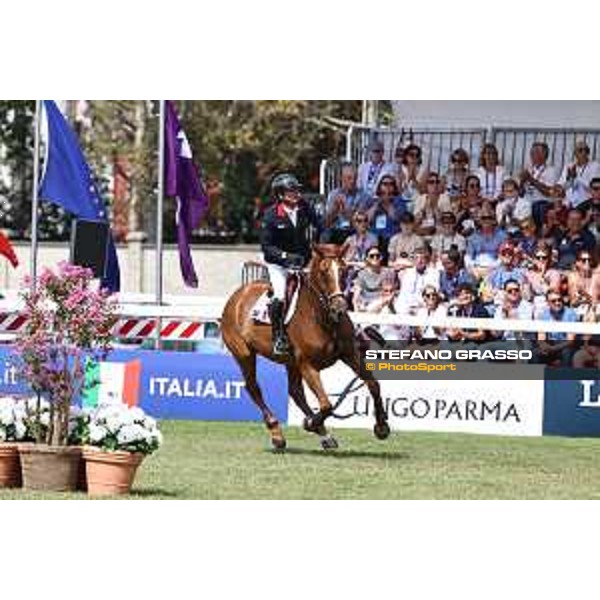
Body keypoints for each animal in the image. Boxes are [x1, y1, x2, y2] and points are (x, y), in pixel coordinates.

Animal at [220, 244, 390, 450]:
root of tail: (238, 295)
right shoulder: (308, 365)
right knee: (254, 388)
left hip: (290, 362)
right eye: (324, 272)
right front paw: (310, 423)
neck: (323, 317)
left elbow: (373, 385)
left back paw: (324, 435)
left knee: (295, 392)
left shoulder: (350, 355)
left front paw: (382, 427)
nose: (340, 308)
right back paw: (278, 433)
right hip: (244, 354)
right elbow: (326, 405)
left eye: (344, 271)